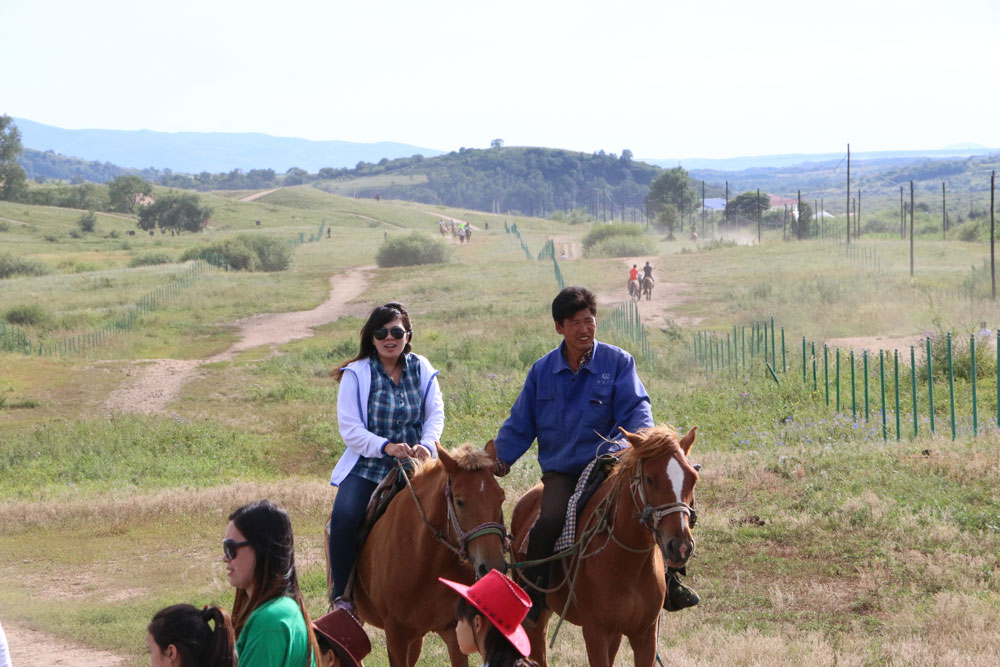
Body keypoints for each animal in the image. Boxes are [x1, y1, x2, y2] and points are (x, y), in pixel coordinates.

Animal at [354, 440, 508, 664]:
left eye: (501, 498)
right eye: (460, 501)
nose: (492, 566)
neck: (426, 562)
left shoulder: (454, 630)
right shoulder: (395, 634)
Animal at [512, 428, 700, 667]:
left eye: (692, 478)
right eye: (650, 479)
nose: (680, 546)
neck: (627, 564)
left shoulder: (645, 635)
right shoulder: (596, 632)